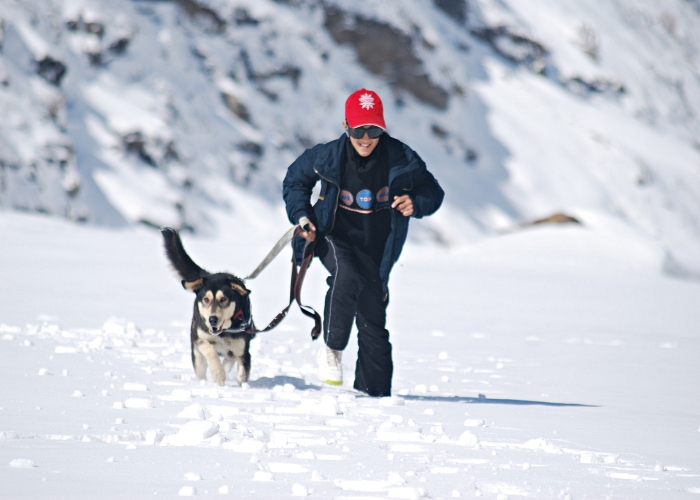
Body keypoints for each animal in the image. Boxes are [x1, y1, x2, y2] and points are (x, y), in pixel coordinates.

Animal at [161, 228, 254, 386]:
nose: (212, 319)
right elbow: (209, 349)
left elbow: (242, 372)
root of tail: (209, 275)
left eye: (223, 299)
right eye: (206, 299)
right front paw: (218, 374)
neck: (224, 332)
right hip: (197, 357)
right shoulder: (199, 339)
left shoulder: (243, 351)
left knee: (229, 359)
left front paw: (242, 384)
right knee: (202, 369)